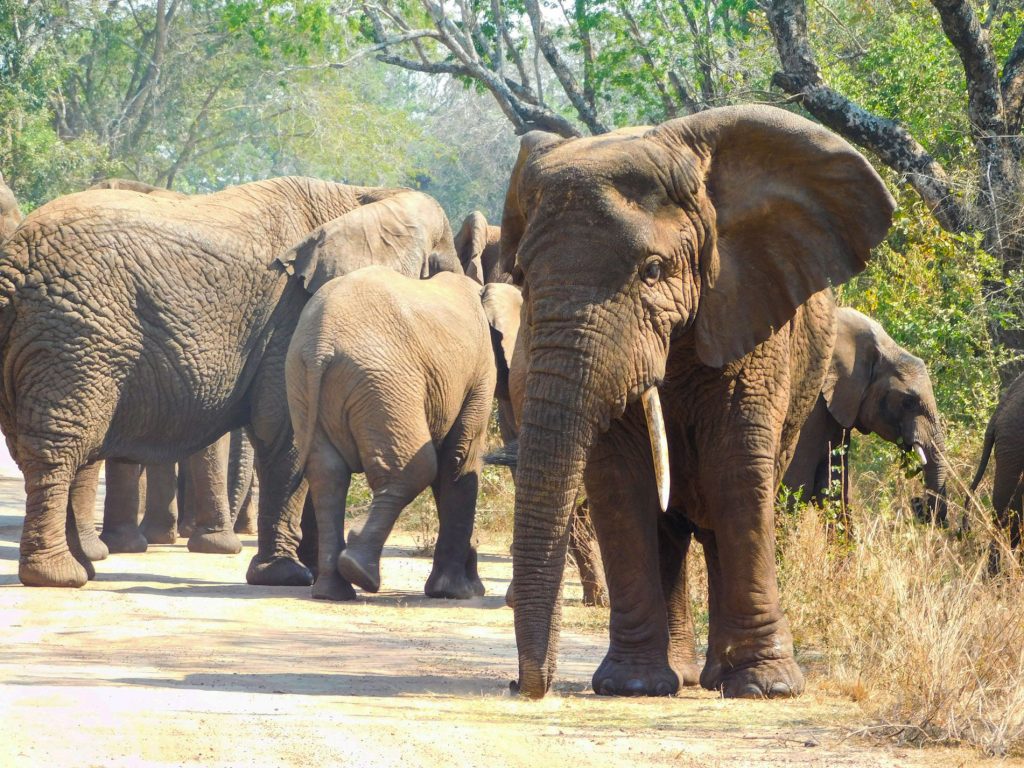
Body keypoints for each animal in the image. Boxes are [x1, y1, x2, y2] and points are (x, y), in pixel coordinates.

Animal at [0, 177, 461, 588]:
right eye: (437, 268)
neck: (362, 197)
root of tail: (14, 261)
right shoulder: (290, 315)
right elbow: (288, 435)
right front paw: (286, 577)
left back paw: (78, 568)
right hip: (76, 334)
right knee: (60, 446)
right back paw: (59, 576)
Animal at [286, 266, 522, 601]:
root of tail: (321, 346)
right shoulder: (481, 371)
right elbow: (458, 460)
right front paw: (456, 592)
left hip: (302, 382)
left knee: (327, 477)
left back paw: (333, 591)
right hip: (384, 383)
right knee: (414, 470)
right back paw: (360, 572)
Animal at [499, 105, 895, 699]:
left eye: (653, 271)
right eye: (522, 277)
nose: (524, 686)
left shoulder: (751, 310)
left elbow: (736, 466)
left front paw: (769, 687)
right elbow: (617, 478)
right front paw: (630, 686)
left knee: (723, 507)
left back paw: (719, 678)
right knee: (669, 528)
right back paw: (678, 676)